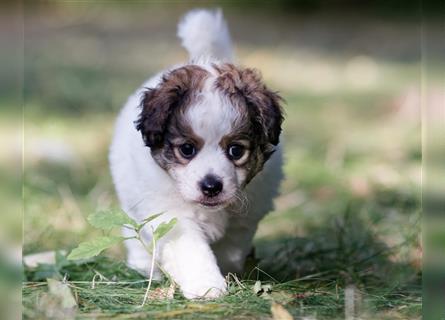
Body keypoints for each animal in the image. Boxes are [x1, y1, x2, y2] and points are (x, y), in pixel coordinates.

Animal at [109, 10, 282, 300]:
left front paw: (227, 274)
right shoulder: (170, 217)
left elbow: (230, 248)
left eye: (236, 150)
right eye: (187, 149)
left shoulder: (244, 219)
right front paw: (206, 286)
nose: (211, 186)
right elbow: (191, 251)